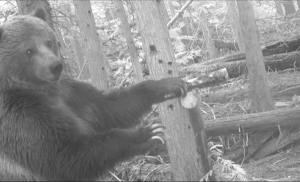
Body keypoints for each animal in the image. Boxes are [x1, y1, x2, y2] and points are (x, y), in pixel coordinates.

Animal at [0, 6, 188, 181]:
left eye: (48, 42)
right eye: (28, 50)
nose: (55, 66)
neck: (40, 89)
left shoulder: (69, 93)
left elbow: (107, 107)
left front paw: (168, 85)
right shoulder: (21, 116)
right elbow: (66, 155)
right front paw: (147, 134)